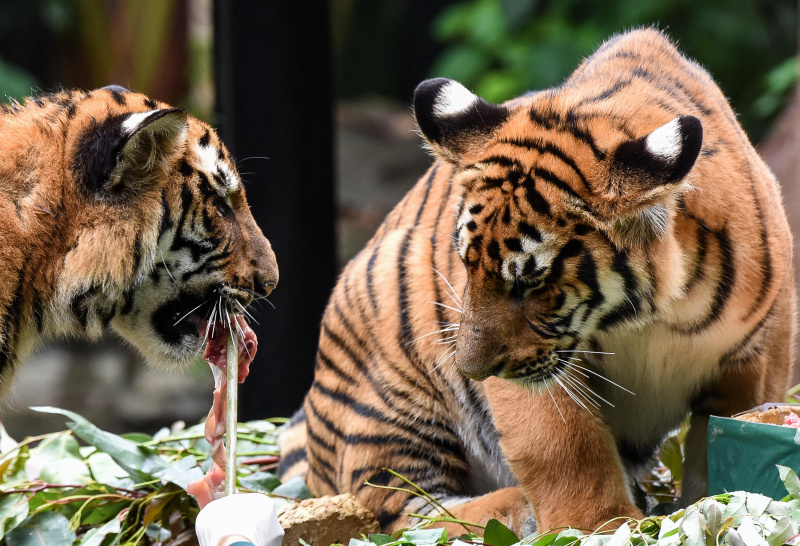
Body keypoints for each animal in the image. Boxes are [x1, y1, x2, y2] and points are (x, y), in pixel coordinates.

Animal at [279, 28, 795, 535]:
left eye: (533, 283)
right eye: (466, 265)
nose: (470, 371)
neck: (654, 316)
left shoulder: (758, 355)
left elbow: (722, 439)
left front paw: (708, 509)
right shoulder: (543, 369)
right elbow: (562, 444)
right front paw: (602, 526)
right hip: (387, 382)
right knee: (399, 511)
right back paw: (511, 509)